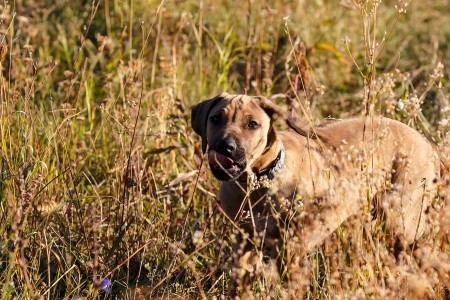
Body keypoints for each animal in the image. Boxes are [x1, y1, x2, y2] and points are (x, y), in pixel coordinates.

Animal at [190, 92, 440, 296]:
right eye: (216, 119)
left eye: (252, 124)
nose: (225, 146)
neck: (258, 184)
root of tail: (425, 141)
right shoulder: (243, 245)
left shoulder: (293, 250)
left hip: (402, 225)